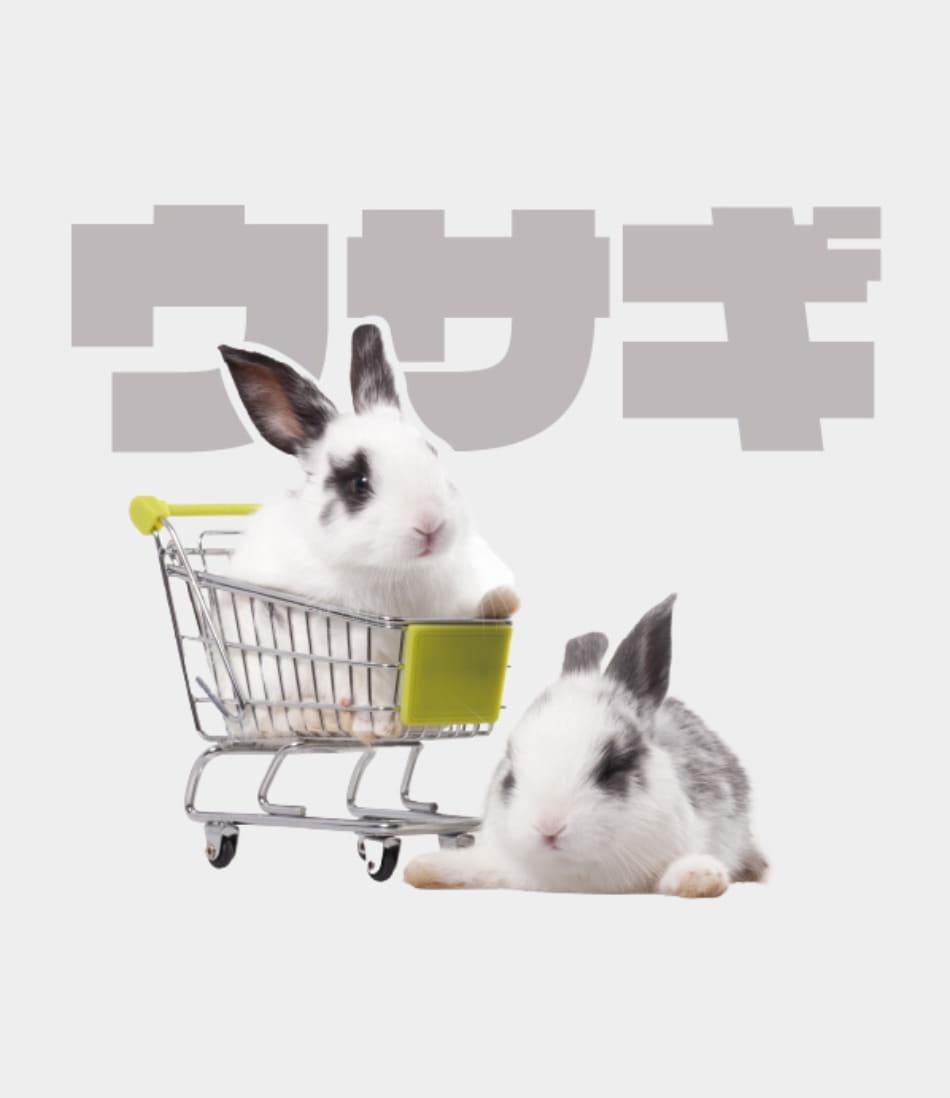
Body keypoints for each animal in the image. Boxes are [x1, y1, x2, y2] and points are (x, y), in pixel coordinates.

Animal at [208, 324, 518, 743]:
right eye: (359, 482)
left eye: (433, 456)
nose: (431, 525)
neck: (395, 574)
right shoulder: (340, 646)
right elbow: (357, 689)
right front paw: (371, 726)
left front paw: (504, 600)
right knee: (274, 720)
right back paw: (322, 720)